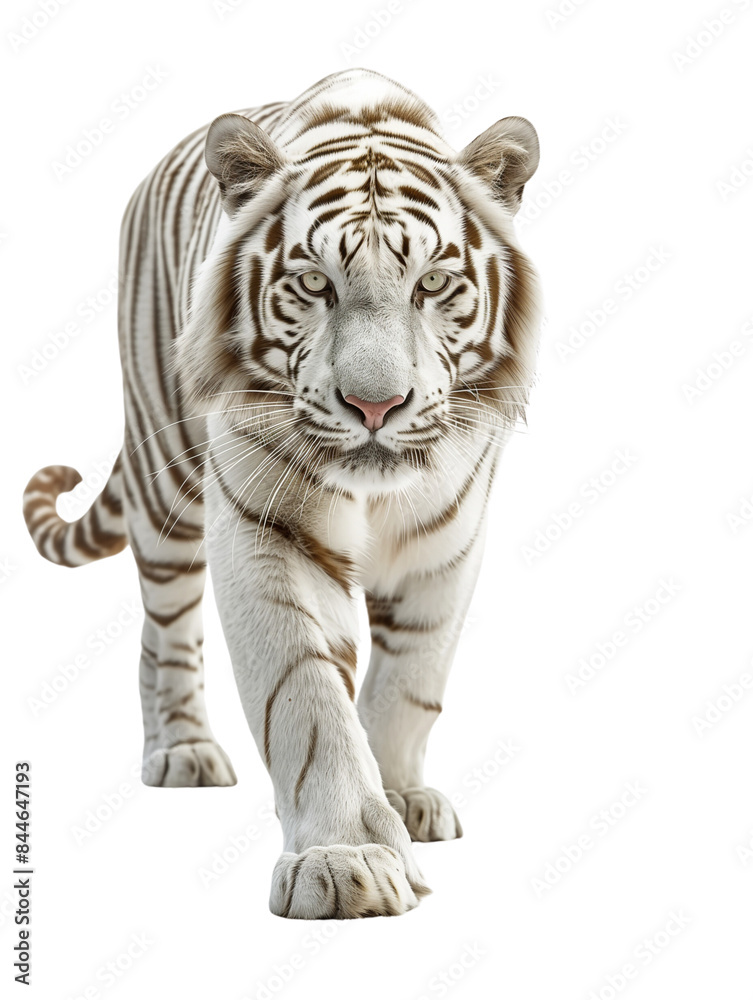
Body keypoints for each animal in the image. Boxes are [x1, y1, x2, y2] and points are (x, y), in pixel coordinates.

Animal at [22, 68, 542, 919]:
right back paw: (182, 749)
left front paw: (403, 798)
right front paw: (346, 860)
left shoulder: (448, 538)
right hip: (167, 477)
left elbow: (410, 682)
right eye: (313, 284)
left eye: (432, 283)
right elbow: (305, 698)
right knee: (165, 631)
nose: (374, 406)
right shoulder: (265, 528)